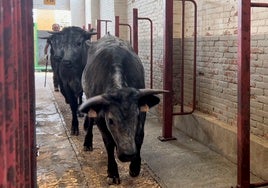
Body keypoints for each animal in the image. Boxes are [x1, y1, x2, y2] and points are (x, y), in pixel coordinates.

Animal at [78, 34, 168, 184]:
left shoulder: (142, 115)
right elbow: (108, 143)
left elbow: (139, 136)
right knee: (90, 122)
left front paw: (135, 166)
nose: (128, 155)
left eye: (136, 117)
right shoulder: (101, 118)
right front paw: (113, 173)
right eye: (110, 120)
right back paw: (87, 143)